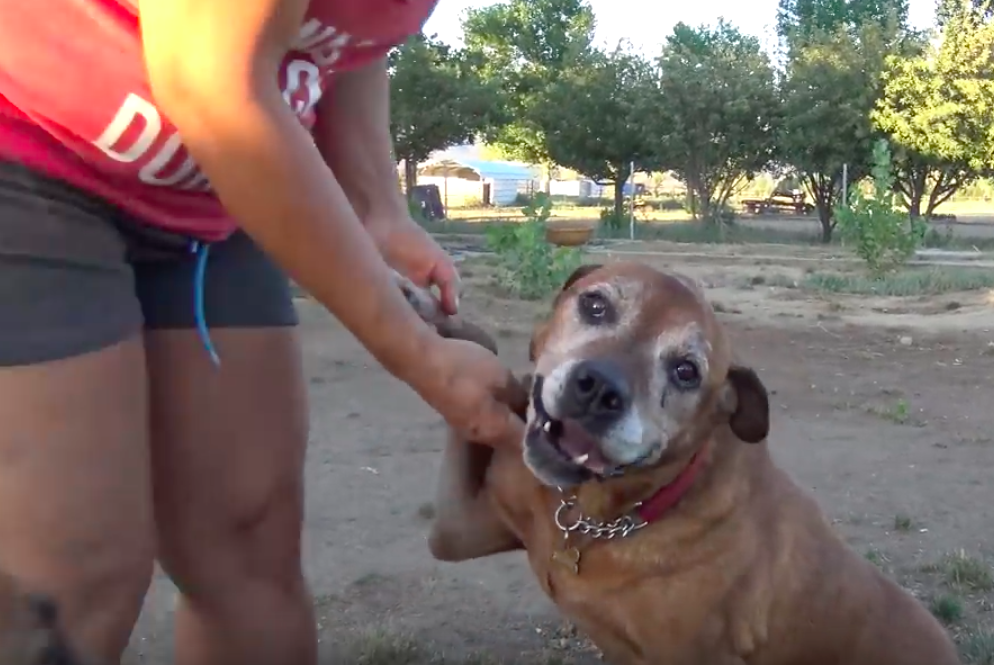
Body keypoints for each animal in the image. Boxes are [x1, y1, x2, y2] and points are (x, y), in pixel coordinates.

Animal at [404, 264, 960, 664]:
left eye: (686, 371)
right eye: (594, 304)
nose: (599, 389)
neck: (596, 517)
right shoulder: (456, 530)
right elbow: (482, 354)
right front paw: (430, 309)